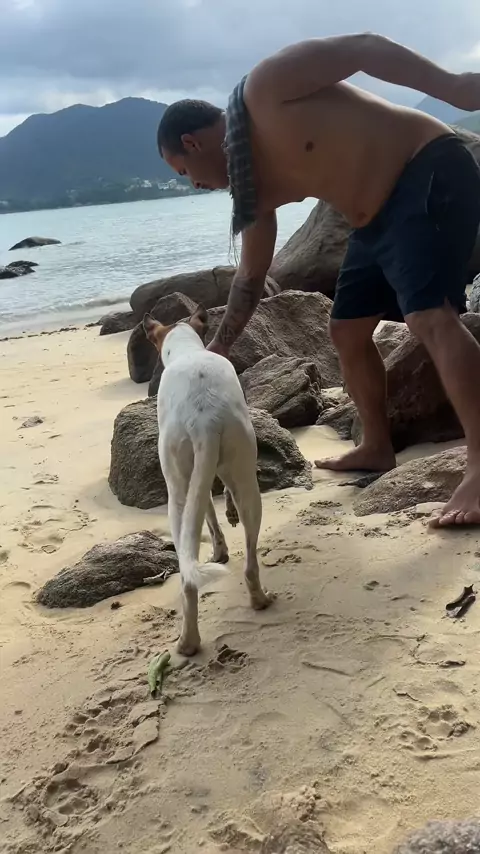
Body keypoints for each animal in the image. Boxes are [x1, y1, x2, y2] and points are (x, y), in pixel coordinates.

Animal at [143, 305, 274, 656]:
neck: (188, 351)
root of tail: (204, 417)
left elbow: (211, 516)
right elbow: (215, 510)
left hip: (178, 494)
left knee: (190, 571)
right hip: (243, 473)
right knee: (246, 561)